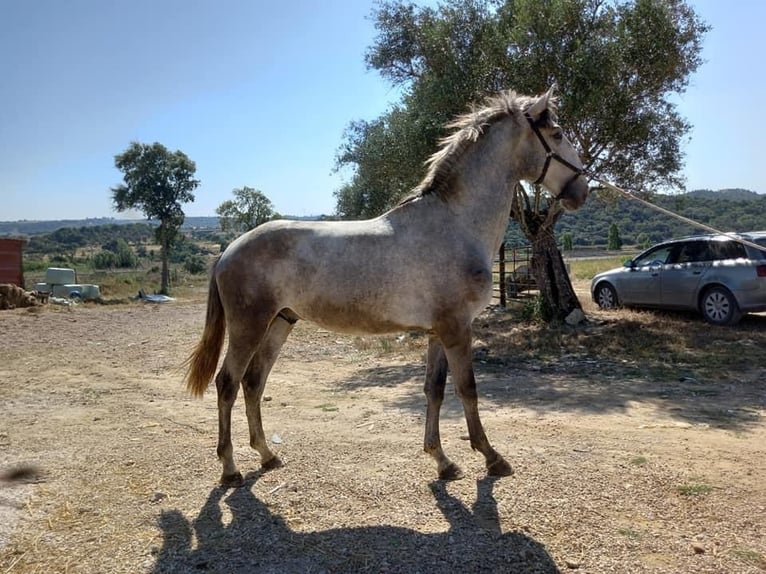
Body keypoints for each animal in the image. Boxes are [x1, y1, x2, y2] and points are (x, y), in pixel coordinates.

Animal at [184, 88, 588, 488]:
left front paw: (442, 461)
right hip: (248, 327)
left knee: (254, 383)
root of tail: (228, 250)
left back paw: (268, 456)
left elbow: (434, 389)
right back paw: (230, 468)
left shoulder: (438, 331)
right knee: (228, 383)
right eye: (556, 135)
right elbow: (468, 389)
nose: (581, 191)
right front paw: (492, 457)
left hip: (280, 322)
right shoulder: (457, 328)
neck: (454, 225)